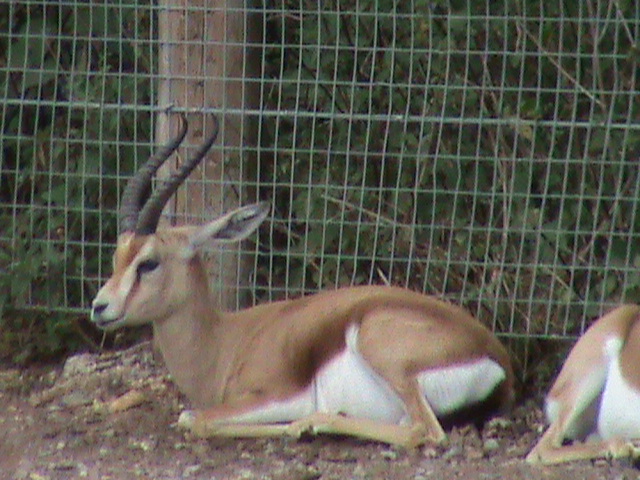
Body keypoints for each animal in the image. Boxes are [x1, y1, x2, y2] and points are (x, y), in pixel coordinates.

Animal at [90, 114, 515, 448]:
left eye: (149, 263)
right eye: (116, 257)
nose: (99, 307)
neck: (224, 344)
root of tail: (499, 360)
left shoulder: (274, 395)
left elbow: (197, 420)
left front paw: (289, 426)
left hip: (378, 346)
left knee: (423, 432)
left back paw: (311, 425)